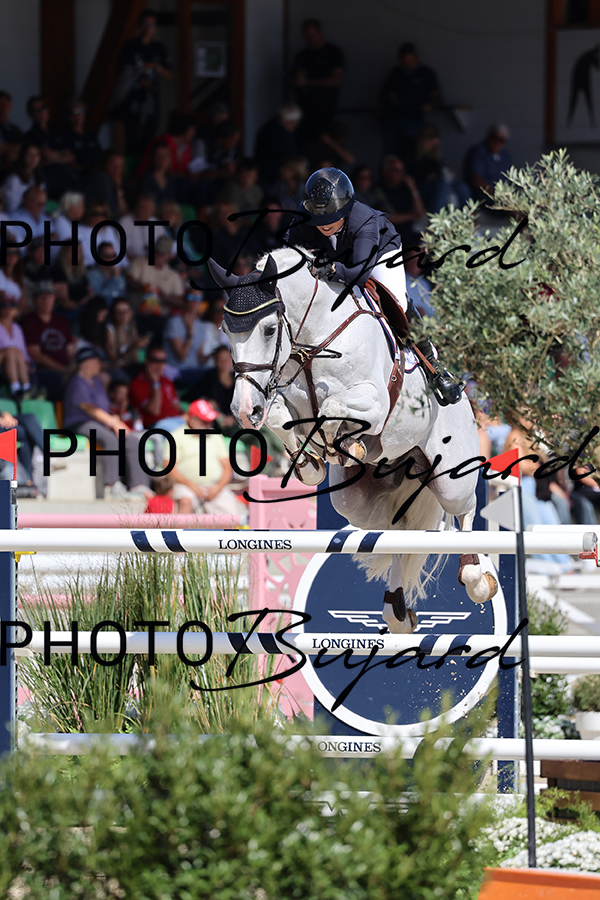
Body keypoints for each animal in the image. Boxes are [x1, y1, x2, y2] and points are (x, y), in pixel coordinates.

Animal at [209, 249, 497, 633]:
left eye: (269, 329)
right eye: (225, 330)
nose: (242, 409)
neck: (313, 341)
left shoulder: (374, 402)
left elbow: (332, 407)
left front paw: (342, 443)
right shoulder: (280, 398)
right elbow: (278, 417)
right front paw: (311, 464)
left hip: (451, 478)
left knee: (464, 511)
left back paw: (478, 579)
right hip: (355, 504)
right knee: (401, 529)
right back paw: (398, 611)